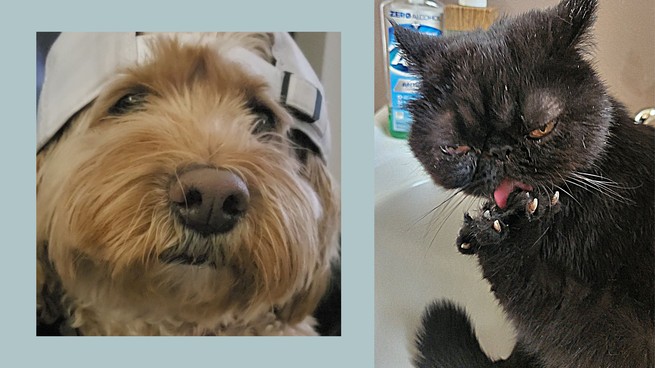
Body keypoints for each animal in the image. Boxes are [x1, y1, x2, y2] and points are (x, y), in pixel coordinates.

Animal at [392, 1, 652, 366]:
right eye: (459, 147)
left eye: (541, 129)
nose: (500, 151)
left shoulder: (605, 331)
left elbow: (533, 293)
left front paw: (502, 235)